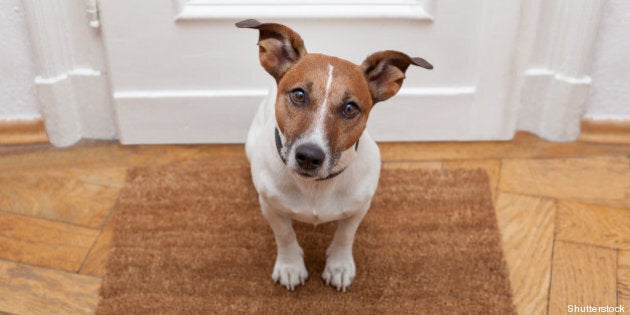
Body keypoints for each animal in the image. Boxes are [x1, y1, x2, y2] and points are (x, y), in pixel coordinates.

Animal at [238, 18, 434, 292]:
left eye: (350, 108)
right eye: (299, 95)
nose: (309, 156)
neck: (315, 187)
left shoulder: (359, 208)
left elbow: (345, 235)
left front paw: (339, 266)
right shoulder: (271, 207)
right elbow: (285, 235)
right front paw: (290, 266)